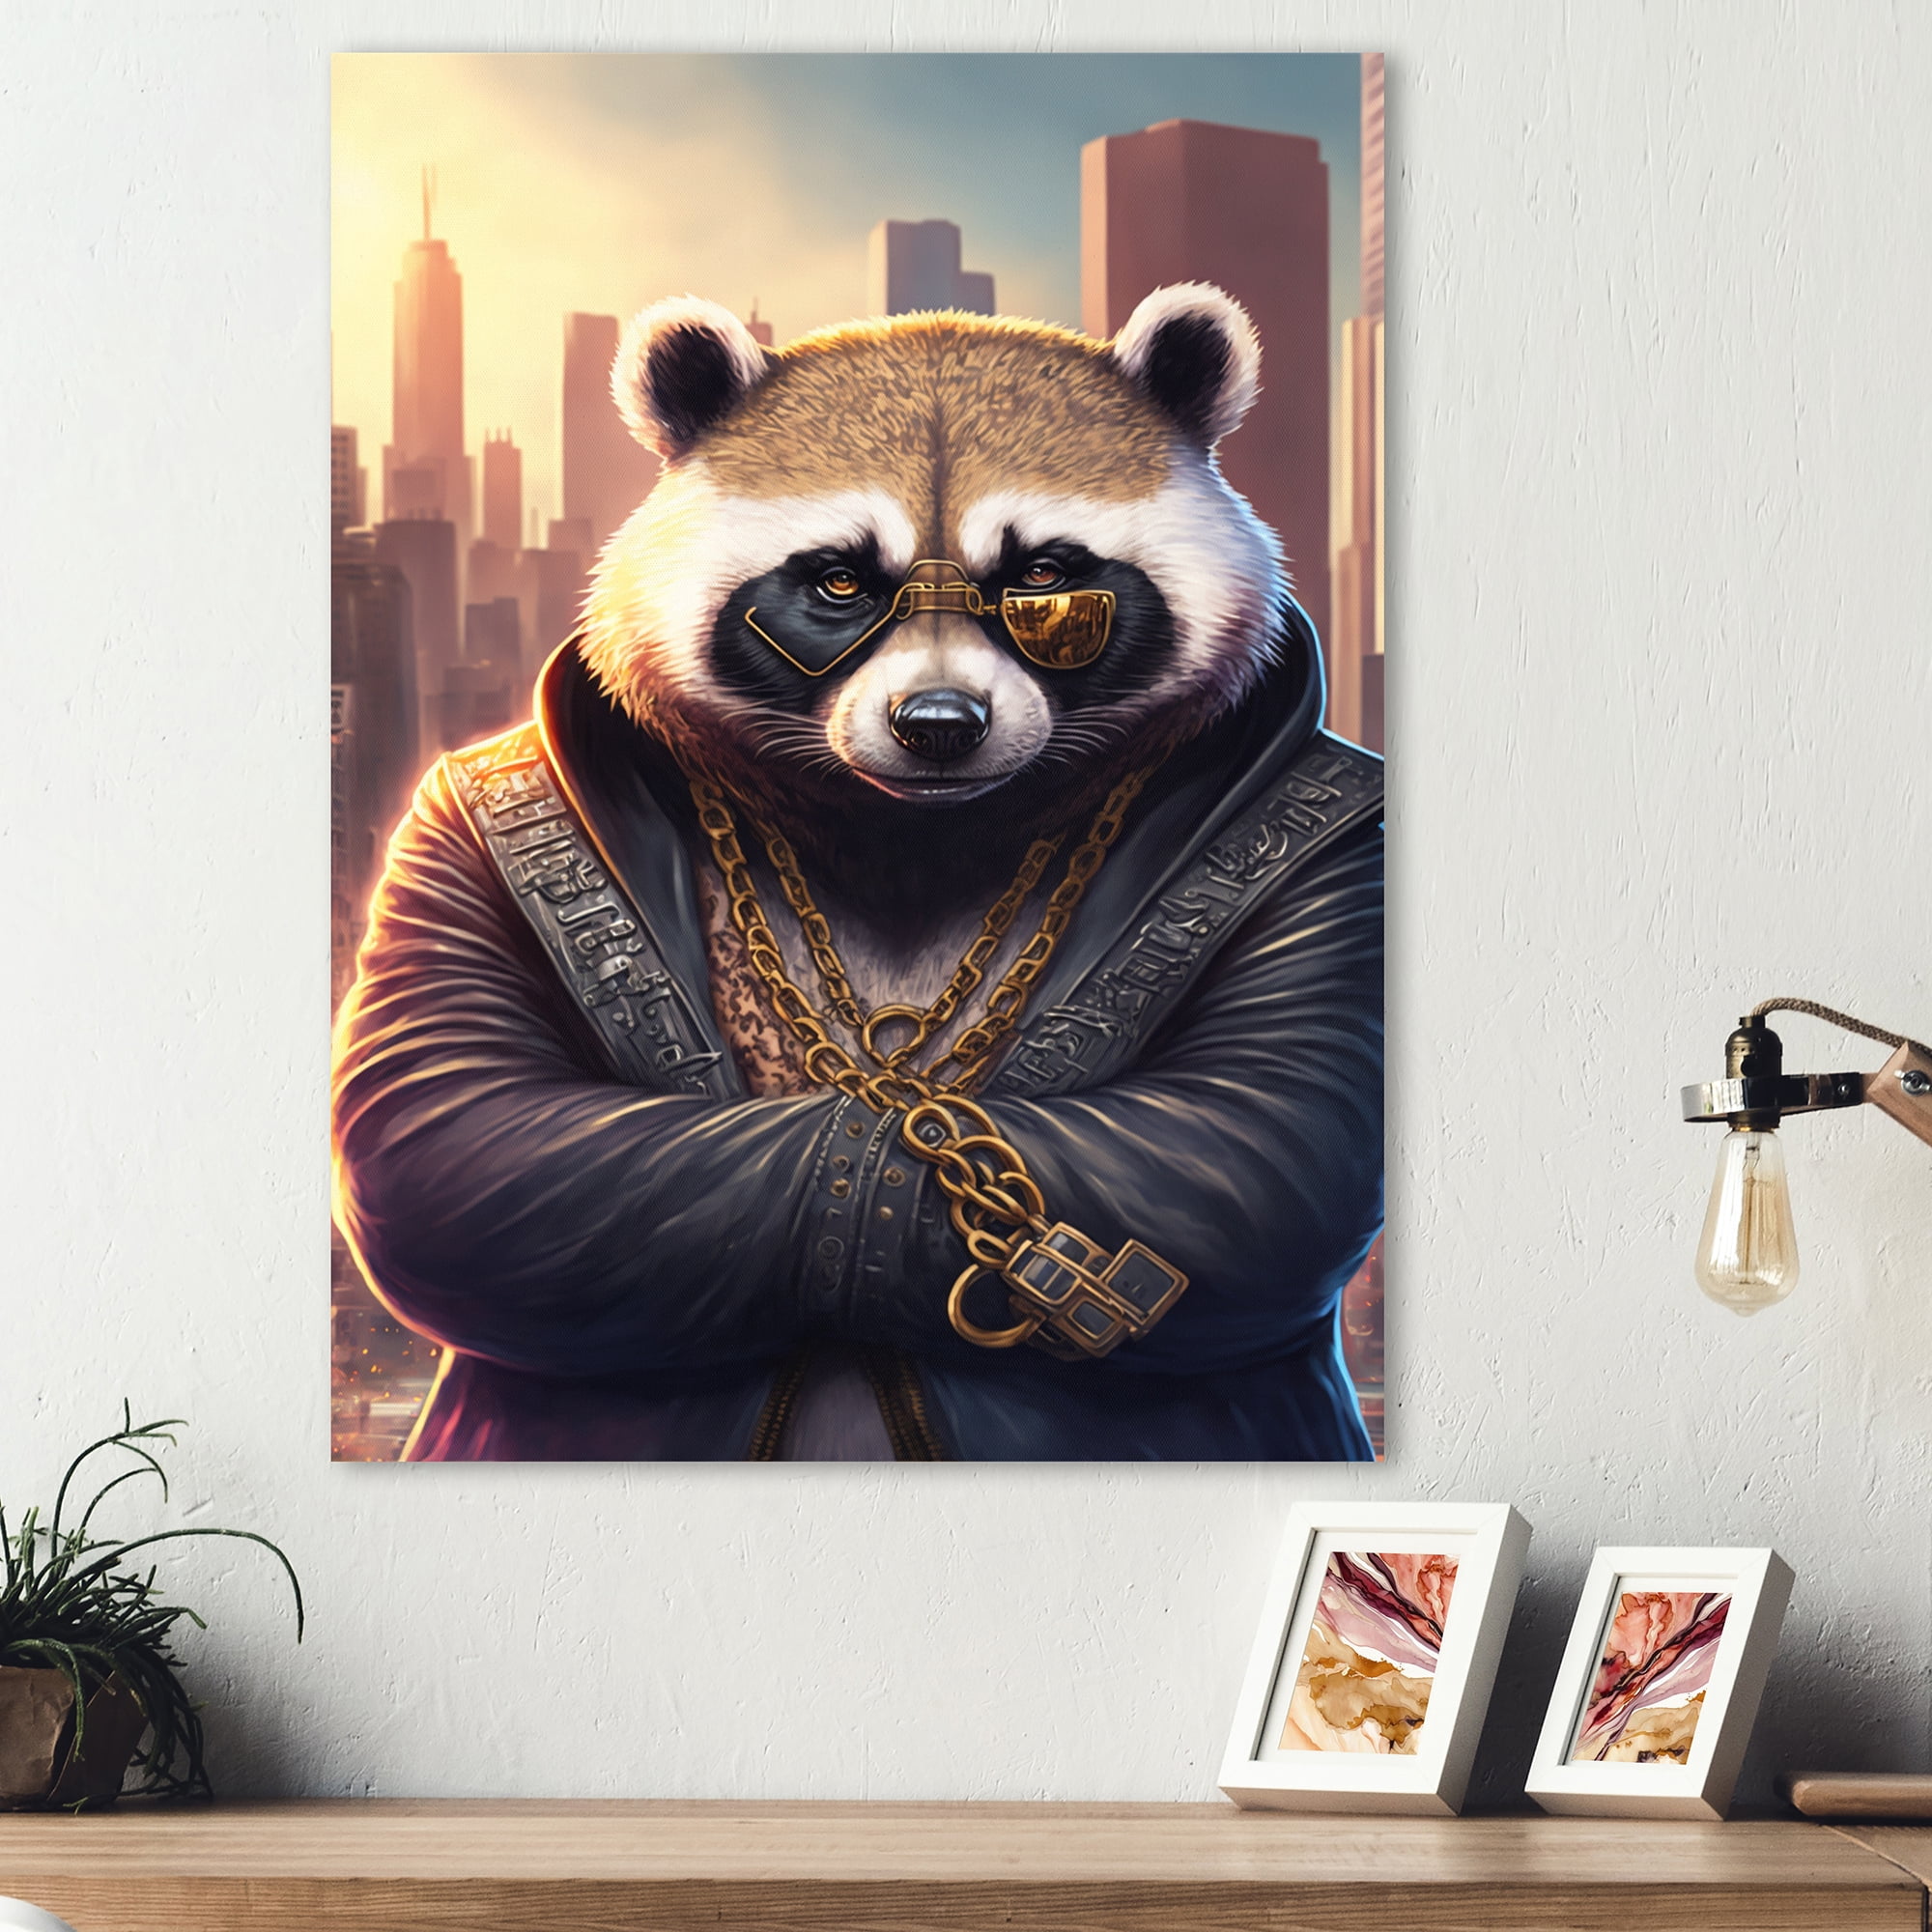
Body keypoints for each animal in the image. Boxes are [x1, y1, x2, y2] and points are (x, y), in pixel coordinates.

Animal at [330, 284, 1384, 1463]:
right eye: (838, 580)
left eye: (1044, 577)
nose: (939, 725)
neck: (912, 829)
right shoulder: (448, 826)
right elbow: (458, 1114)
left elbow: (1264, 1127)